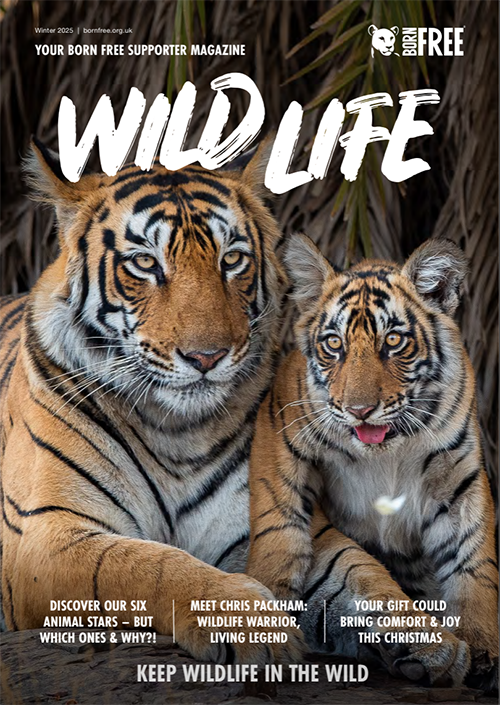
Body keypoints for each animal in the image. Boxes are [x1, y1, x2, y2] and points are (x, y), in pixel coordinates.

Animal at [0, 140, 470, 685]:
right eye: (145, 263)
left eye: (232, 260)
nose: (207, 357)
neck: (175, 430)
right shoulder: (48, 534)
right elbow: (149, 565)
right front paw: (251, 625)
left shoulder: (277, 518)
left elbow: (361, 575)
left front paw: (435, 642)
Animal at [247, 232, 498, 690]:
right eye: (334, 344)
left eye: (393, 342)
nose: (360, 410)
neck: (387, 451)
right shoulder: (279, 427)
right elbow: (278, 520)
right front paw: (270, 591)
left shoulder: (459, 479)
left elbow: (474, 565)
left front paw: (484, 646)